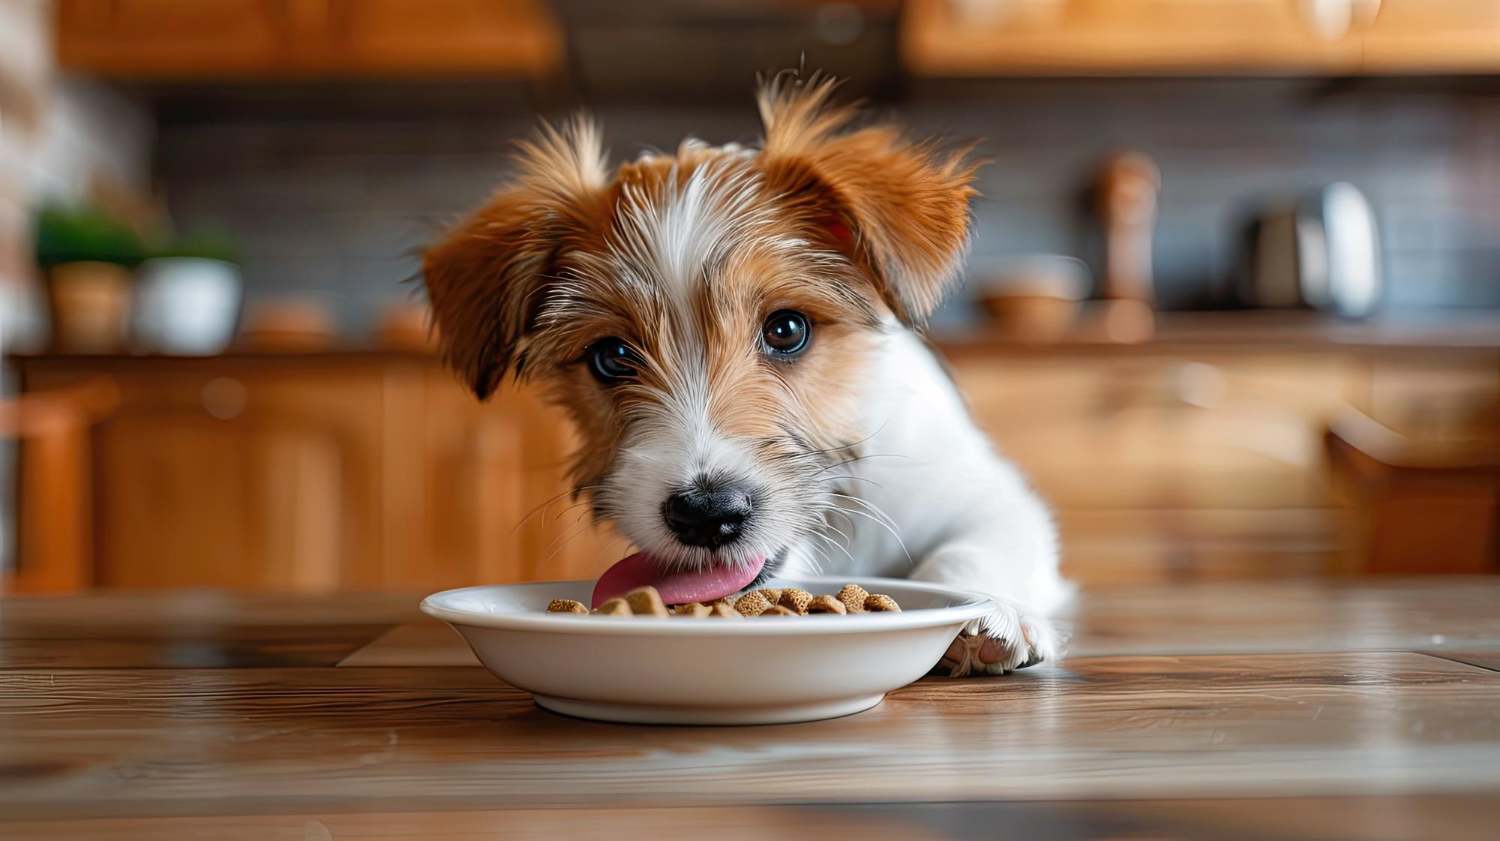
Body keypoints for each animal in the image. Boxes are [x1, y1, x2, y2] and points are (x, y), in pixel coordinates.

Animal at [426, 73, 1068, 674]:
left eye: (786, 329)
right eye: (611, 356)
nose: (708, 515)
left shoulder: (985, 495)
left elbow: (973, 548)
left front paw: (992, 618)